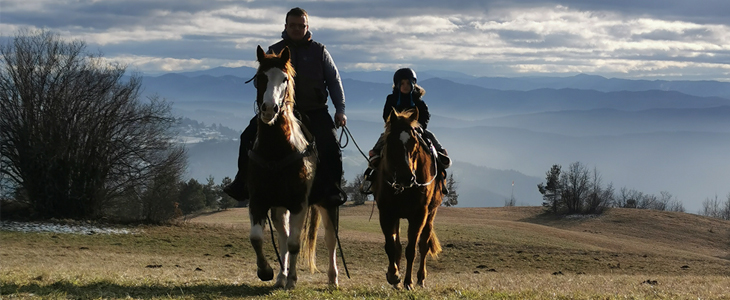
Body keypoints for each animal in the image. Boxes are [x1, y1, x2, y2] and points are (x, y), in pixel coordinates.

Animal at [243, 45, 336, 290]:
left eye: (284, 79)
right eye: (260, 77)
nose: (269, 109)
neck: (277, 149)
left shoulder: (299, 203)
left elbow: (295, 243)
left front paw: (293, 279)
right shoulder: (258, 200)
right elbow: (257, 238)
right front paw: (266, 271)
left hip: (327, 202)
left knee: (330, 239)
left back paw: (333, 279)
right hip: (278, 207)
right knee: (283, 237)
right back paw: (280, 276)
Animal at [372, 107, 440, 288]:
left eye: (414, 142)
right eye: (391, 141)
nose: (406, 177)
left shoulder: (419, 215)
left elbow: (412, 249)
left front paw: (408, 282)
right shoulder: (387, 213)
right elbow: (391, 246)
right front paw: (393, 275)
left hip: (431, 214)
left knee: (424, 245)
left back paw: (421, 278)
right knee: (397, 245)